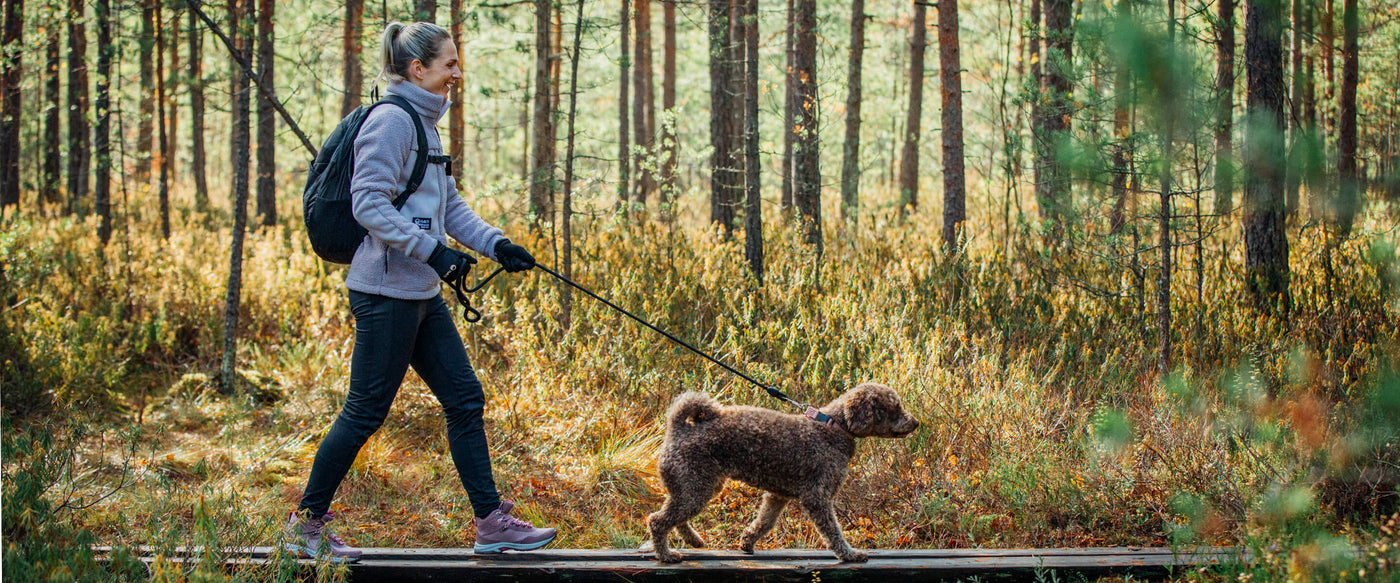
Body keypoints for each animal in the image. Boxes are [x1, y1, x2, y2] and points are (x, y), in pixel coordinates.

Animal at [641, 383, 918, 563]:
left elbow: (764, 522)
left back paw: (693, 541)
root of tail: (678, 427)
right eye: (895, 407)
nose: (916, 422)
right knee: (657, 520)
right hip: (696, 486)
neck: (834, 427)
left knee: (675, 516)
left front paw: (747, 542)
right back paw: (666, 555)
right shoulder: (817, 497)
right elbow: (833, 531)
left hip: (695, 486)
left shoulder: (777, 496)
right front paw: (849, 554)